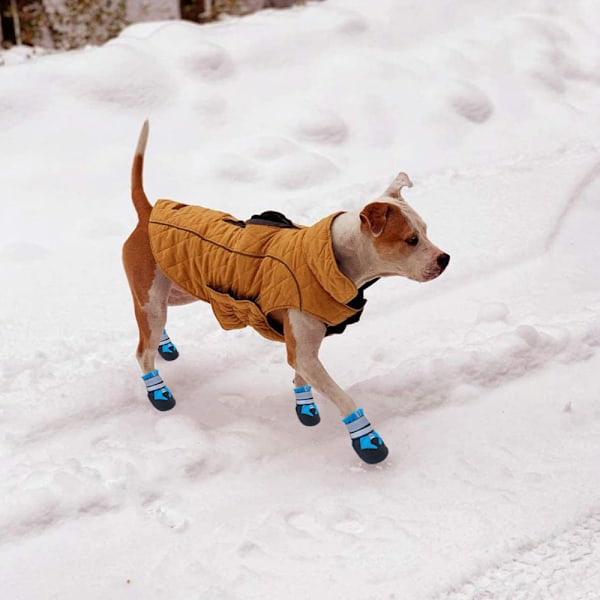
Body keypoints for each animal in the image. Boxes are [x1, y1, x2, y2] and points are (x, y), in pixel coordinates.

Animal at [123, 120, 450, 464]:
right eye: (411, 239)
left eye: (426, 230)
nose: (444, 259)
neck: (333, 259)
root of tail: (148, 212)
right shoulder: (304, 349)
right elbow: (343, 397)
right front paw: (366, 439)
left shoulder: (304, 347)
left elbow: (301, 375)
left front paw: (304, 406)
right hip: (154, 297)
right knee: (143, 351)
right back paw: (158, 390)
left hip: (177, 289)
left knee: (154, 327)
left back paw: (165, 346)